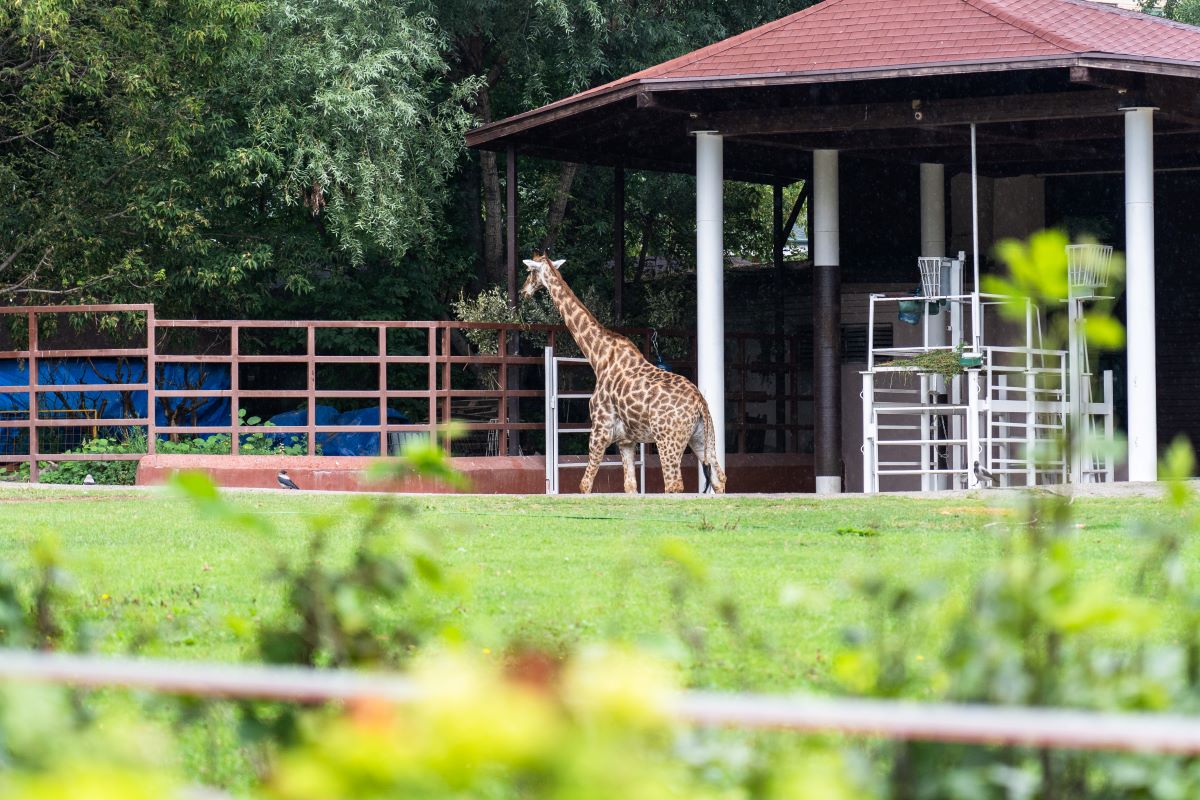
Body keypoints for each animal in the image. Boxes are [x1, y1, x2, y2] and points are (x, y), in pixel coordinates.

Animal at [523, 255, 724, 494]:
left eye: (530, 272)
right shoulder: (626, 440)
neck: (598, 356)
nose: (523, 291)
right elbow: (630, 486)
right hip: (702, 438)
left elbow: (584, 485)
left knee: (674, 484)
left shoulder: (600, 429)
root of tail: (700, 403)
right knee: (719, 478)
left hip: (668, 439)